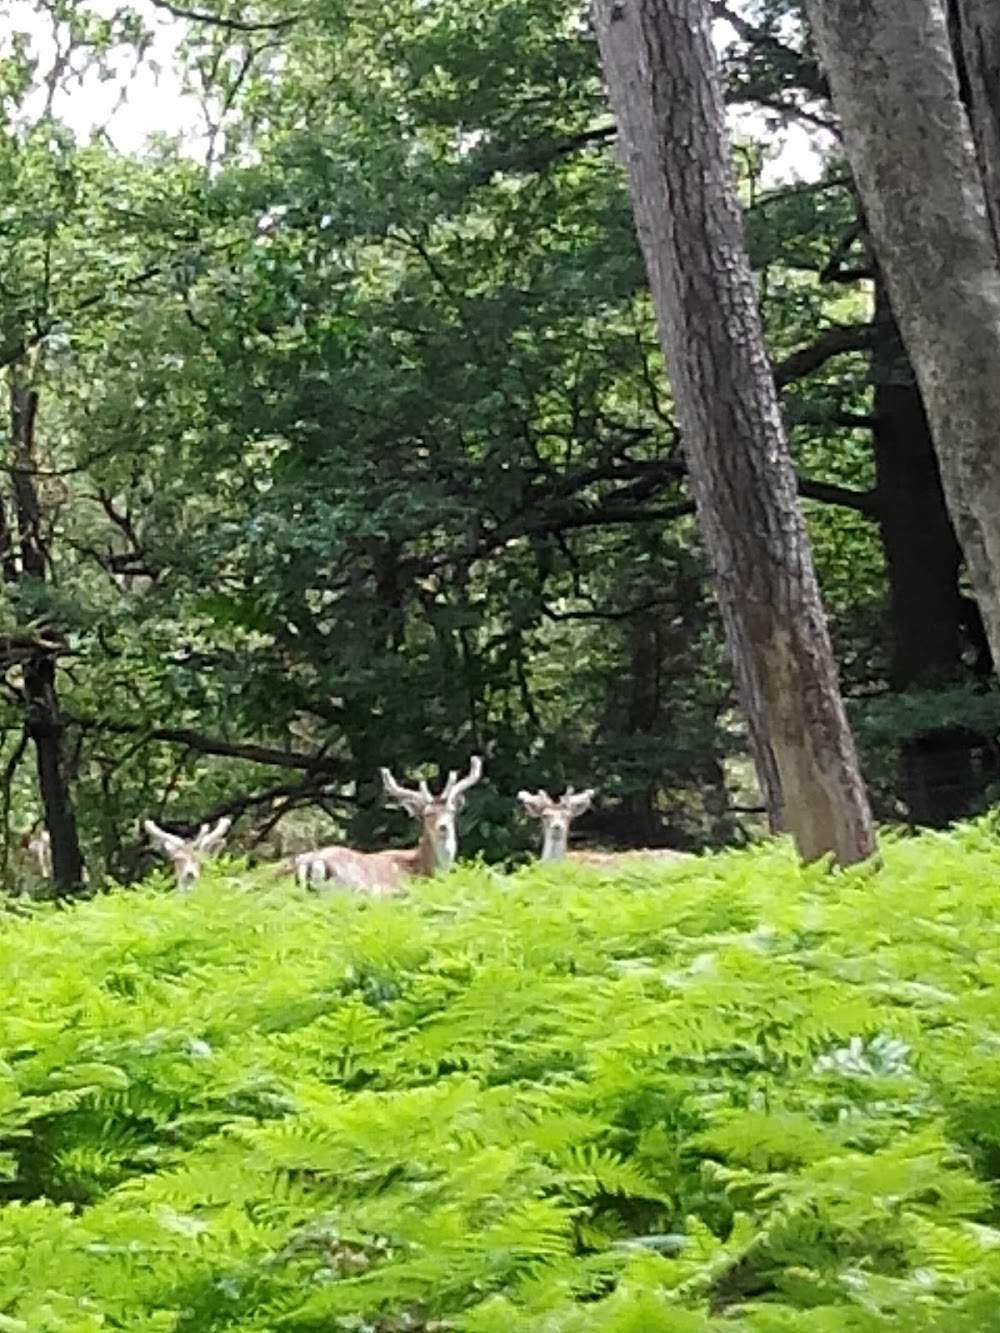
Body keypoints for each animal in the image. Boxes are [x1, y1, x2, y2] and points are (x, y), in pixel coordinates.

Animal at [289, 757, 485, 901]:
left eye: (451, 812)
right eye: (427, 814)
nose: (443, 827)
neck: (424, 867)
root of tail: (310, 863)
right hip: (353, 890)